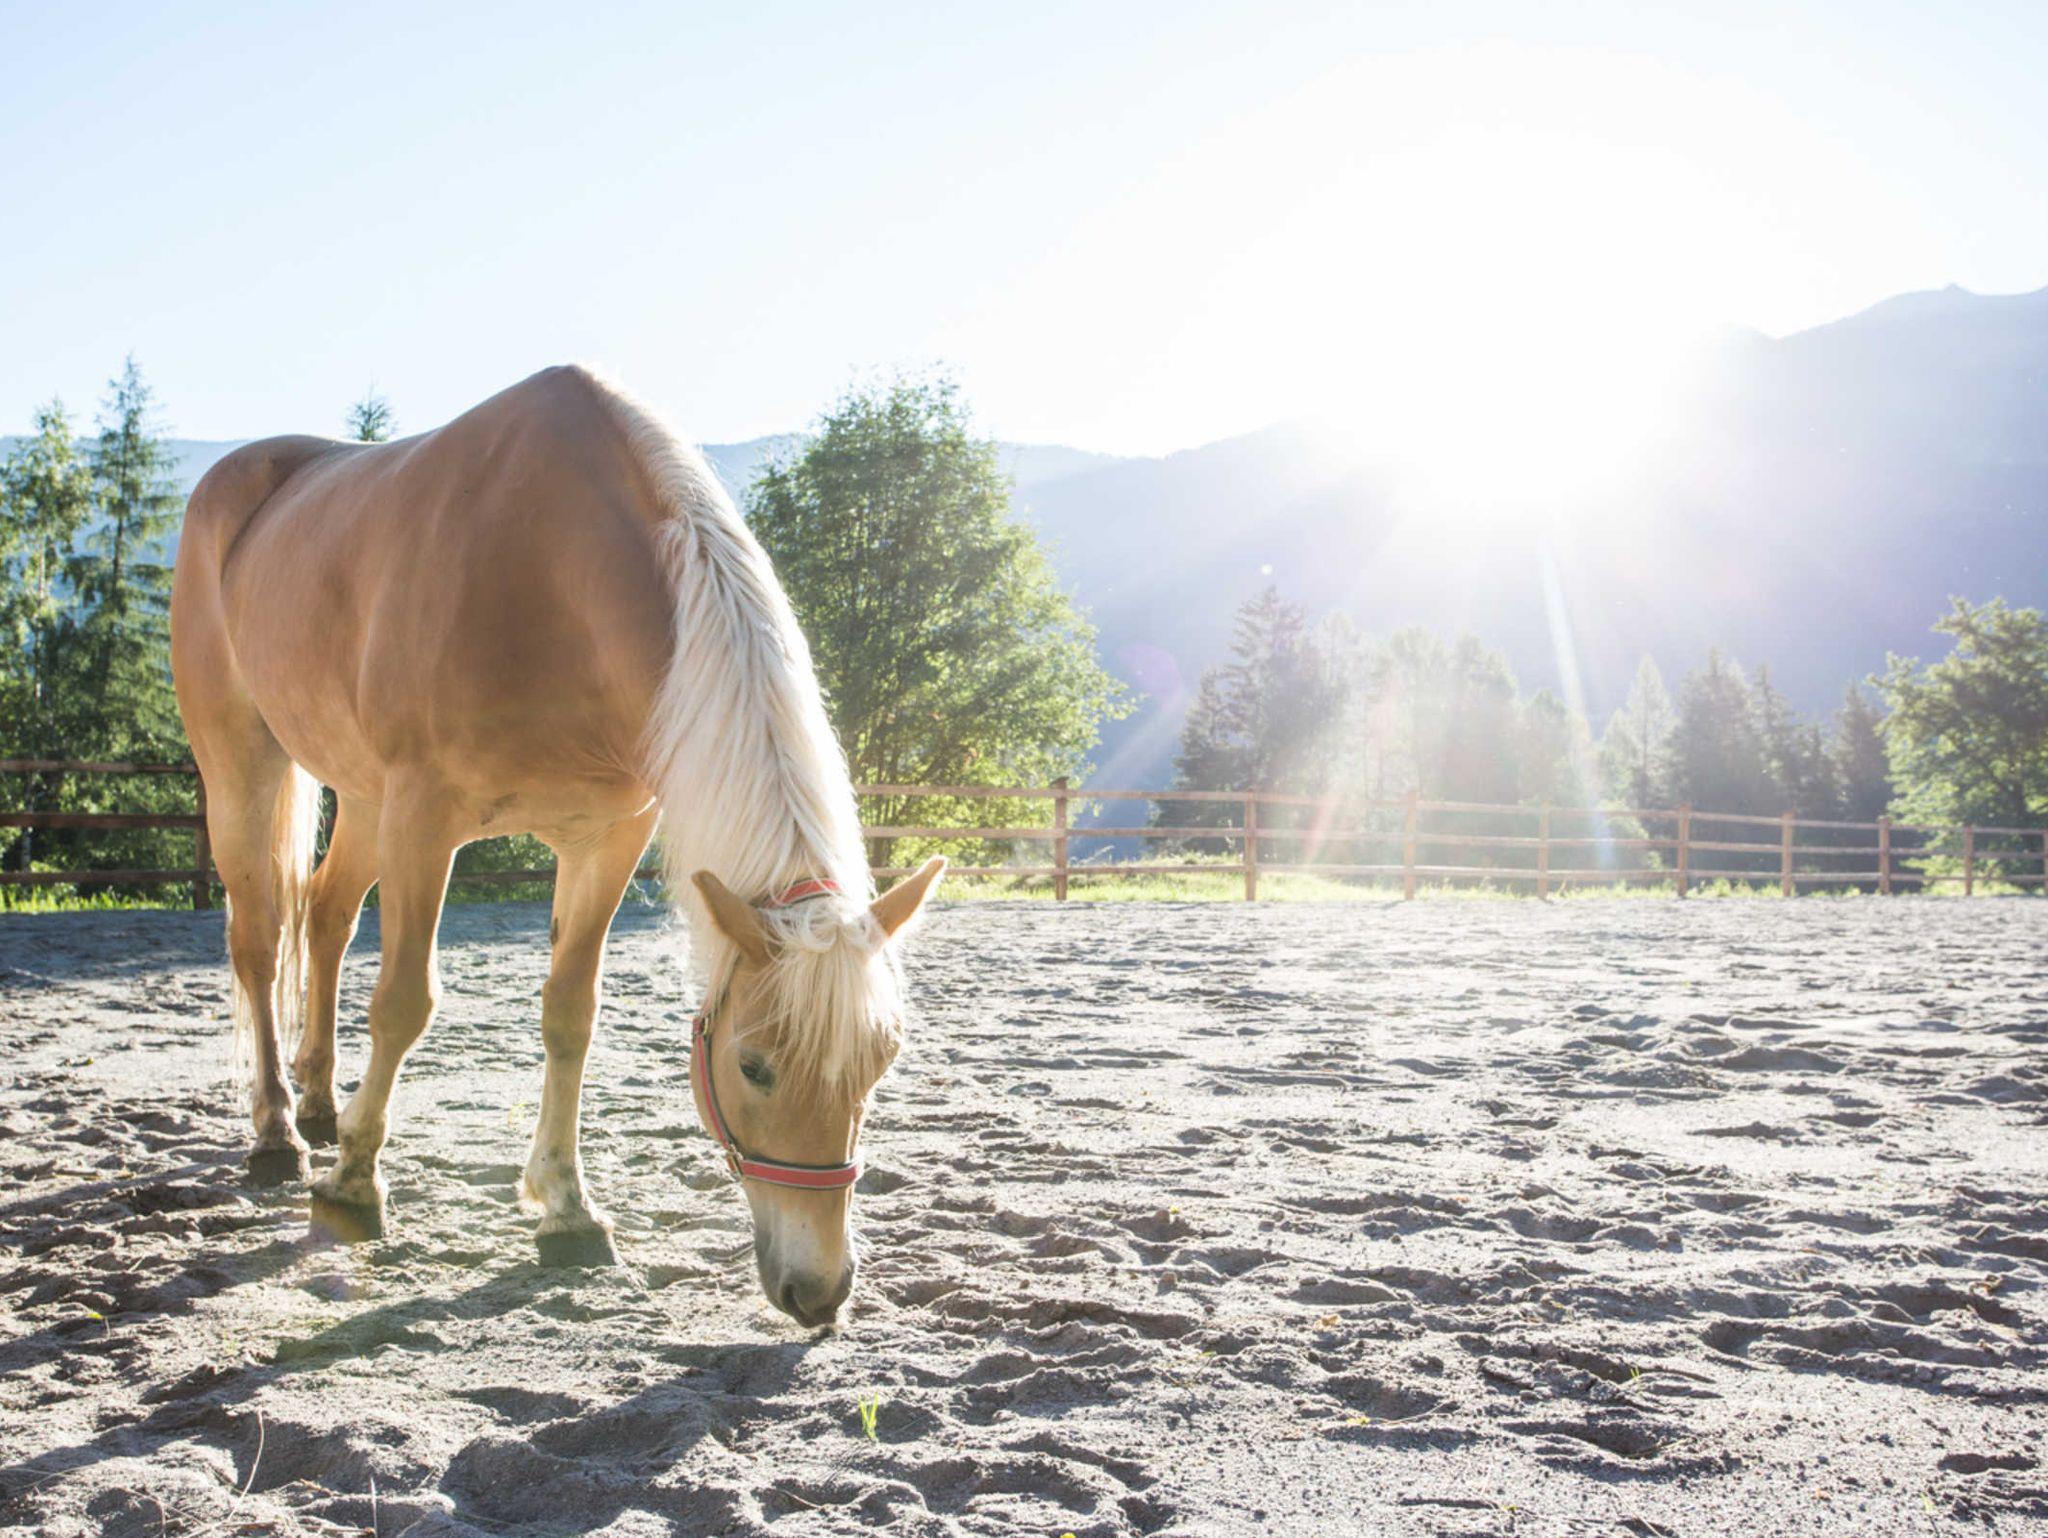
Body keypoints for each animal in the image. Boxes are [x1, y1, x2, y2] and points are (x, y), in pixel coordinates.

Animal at [169, 365, 943, 1326]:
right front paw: (354, 1185)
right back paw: (278, 1131)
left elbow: (571, 1014)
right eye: (753, 1067)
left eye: (881, 1063)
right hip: (245, 763)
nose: (820, 1291)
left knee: (326, 915)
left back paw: (319, 1102)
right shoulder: (426, 817)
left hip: (363, 796)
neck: (551, 576)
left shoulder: (607, 837)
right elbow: (404, 1003)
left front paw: (567, 1207)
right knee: (259, 936)